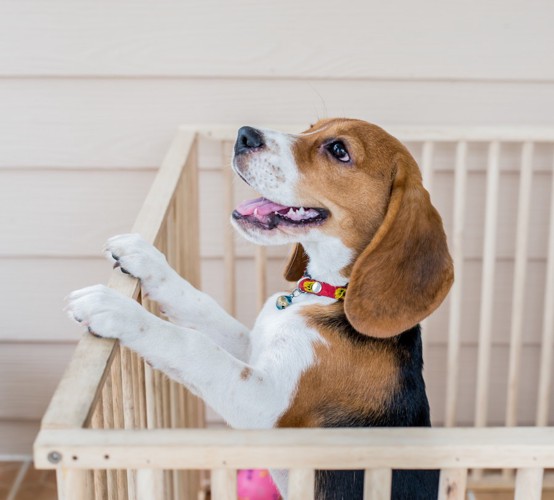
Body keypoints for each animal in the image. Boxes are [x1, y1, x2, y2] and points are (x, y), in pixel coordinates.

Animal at [66, 119, 452, 498]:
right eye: (310, 127)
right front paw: (145, 258)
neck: (329, 294)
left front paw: (116, 309)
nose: (244, 135)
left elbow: (195, 346)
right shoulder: (254, 345)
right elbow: (202, 307)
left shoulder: (265, 404)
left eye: (339, 150)